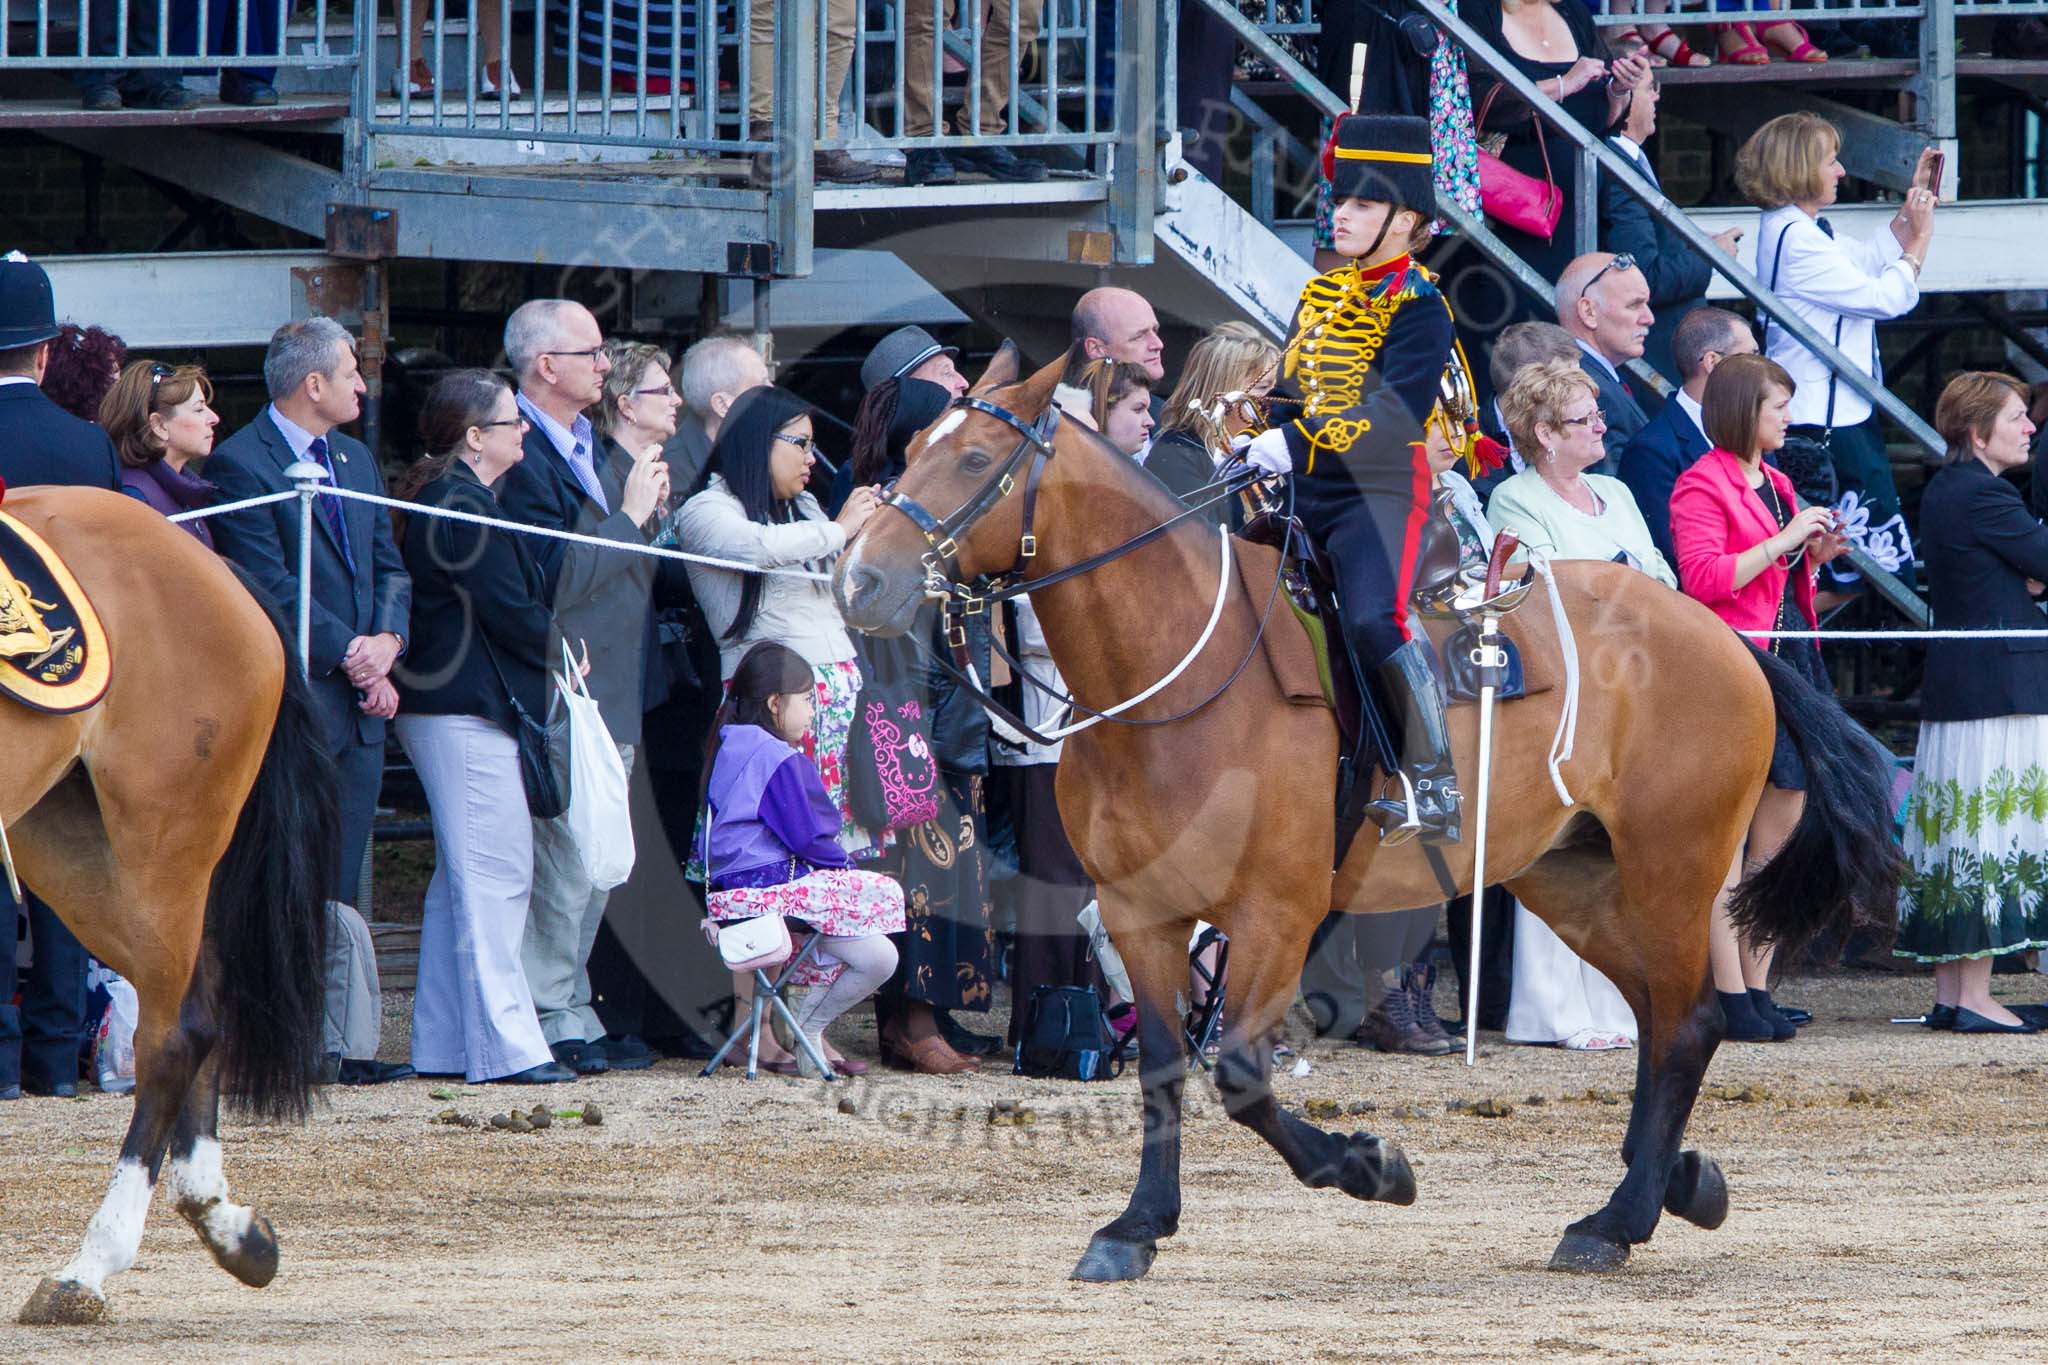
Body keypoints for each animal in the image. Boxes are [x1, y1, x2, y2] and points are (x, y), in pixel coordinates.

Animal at [4, 482, 331, 1326]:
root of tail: (206, 560)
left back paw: (92, 1263)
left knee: (176, 1036)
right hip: (72, 848)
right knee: (199, 1010)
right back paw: (224, 1221)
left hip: (163, 846)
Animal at [831, 349, 1900, 1285]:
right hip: (1574, 880)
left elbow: (1239, 1074)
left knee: (1684, 1026)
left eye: (976, 460)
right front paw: (1136, 1226)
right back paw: (1661, 1185)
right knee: (1667, 1016)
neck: (1172, 676)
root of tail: (1719, 634)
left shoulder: (1275, 914)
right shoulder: (1142, 915)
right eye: (915, 444)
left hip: (1670, 867)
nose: (858, 580)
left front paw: (1370, 1167)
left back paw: (1623, 1217)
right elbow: (1166, 1068)